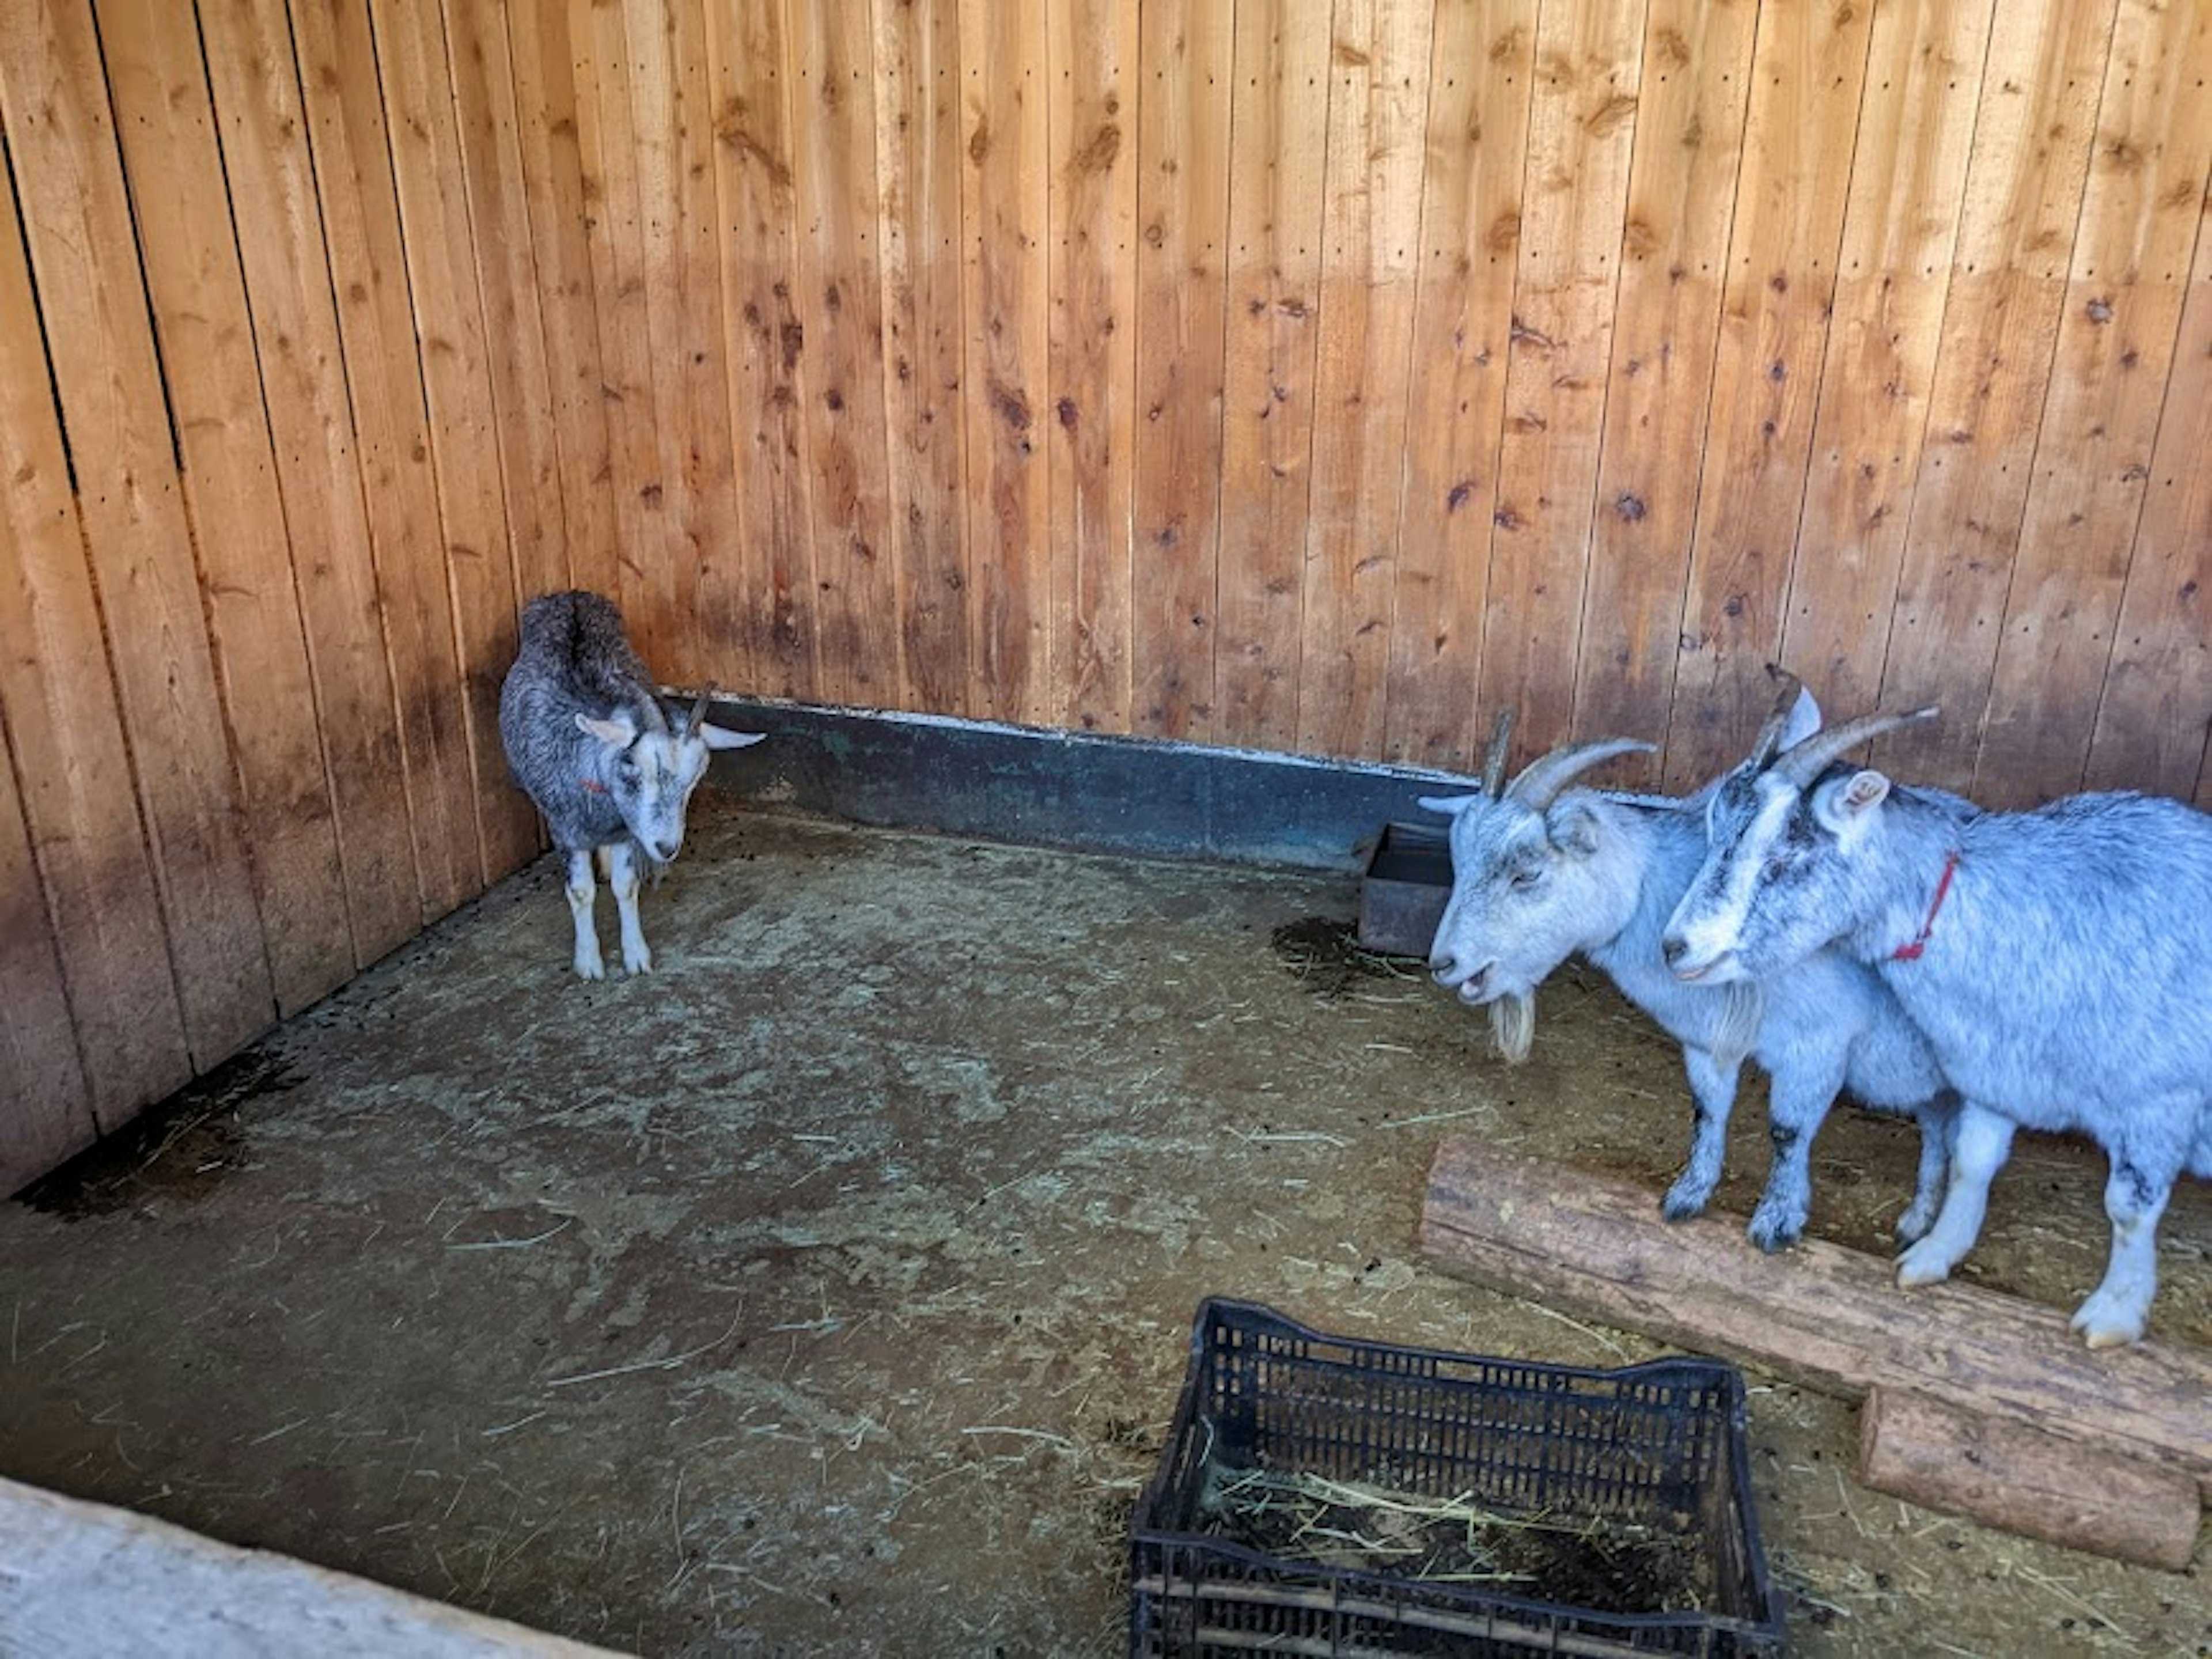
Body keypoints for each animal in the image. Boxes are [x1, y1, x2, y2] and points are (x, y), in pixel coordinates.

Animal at [498, 593, 765, 982]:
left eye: (693, 781)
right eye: (632, 770)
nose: (667, 848)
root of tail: (571, 594)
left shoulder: (625, 831)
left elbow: (626, 887)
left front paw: (636, 955)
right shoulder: (565, 830)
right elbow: (581, 892)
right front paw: (589, 963)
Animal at [1415, 703, 1955, 1256]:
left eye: (1526, 875)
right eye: (1458, 863)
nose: (1444, 964)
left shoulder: (1818, 1043)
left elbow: (1788, 1132)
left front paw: (1776, 1221)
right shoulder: (1704, 1040)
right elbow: (1707, 1112)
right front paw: (1688, 1196)